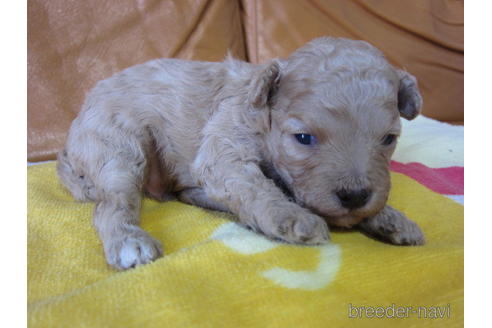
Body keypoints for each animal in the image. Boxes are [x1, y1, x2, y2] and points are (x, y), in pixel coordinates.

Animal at [57, 37, 424, 270]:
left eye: (388, 139)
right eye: (303, 138)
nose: (355, 196)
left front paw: (391, 218)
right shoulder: (224, 146)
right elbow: (256, 187)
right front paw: (292, 217)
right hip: (117, 147)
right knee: (112, 204)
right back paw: (129, 241)